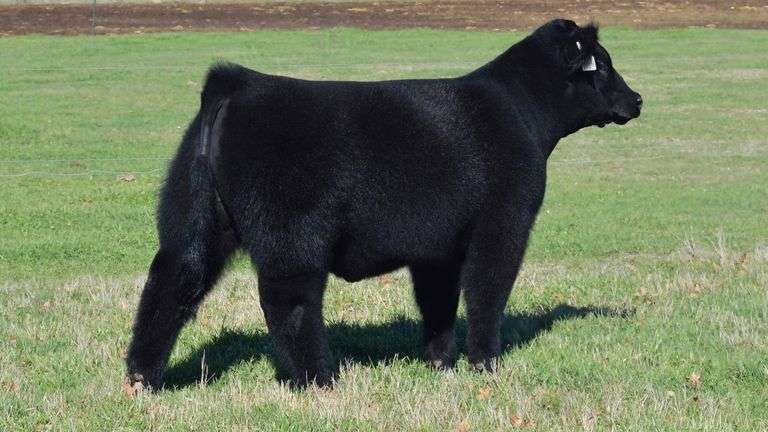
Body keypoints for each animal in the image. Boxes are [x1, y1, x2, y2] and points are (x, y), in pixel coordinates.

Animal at [124, 19, 642, 392]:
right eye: (602, 65)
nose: (637, 99)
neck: (520, 112)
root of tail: (237, 82)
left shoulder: (437, 247)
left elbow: (437, 302)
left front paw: (440, 363)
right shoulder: (503, 224)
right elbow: (487, 293)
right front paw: (485, 363)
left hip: (194, 223)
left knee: (171, 284)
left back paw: (142, 379)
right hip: (292, 239)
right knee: (289, 301)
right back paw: (319, 380)